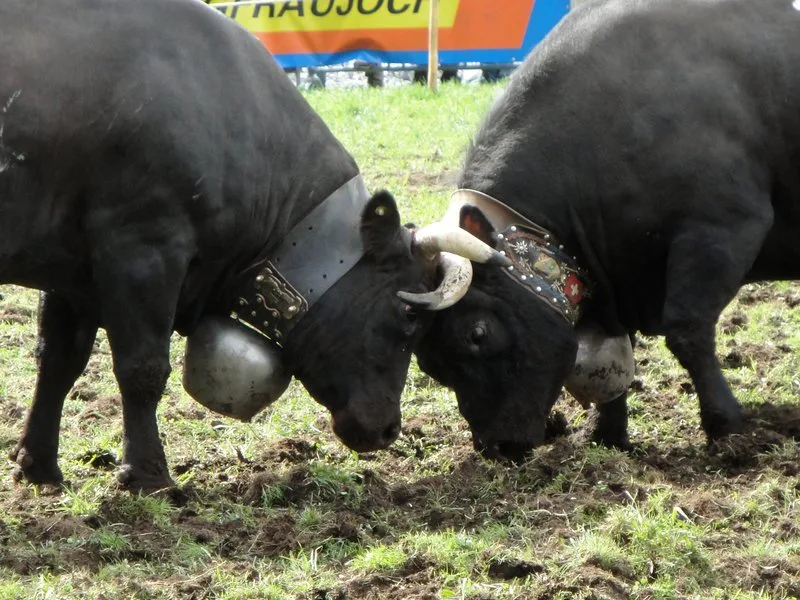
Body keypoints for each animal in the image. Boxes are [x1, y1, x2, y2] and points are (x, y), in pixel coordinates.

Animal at [0, 0, 507, 492]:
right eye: (408, 314)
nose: (389, 429)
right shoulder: (143, 249)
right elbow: (143, 368)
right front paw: (149, 476)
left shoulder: (73, 271)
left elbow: (58, 360)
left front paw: (38, 466)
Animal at [407, 0, 800, 461]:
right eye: (429, 364)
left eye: (477, 332)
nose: (496, 447)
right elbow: (615, 362)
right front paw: (606, 434)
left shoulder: (723, 227)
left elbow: (687, 332)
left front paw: (726, 425)